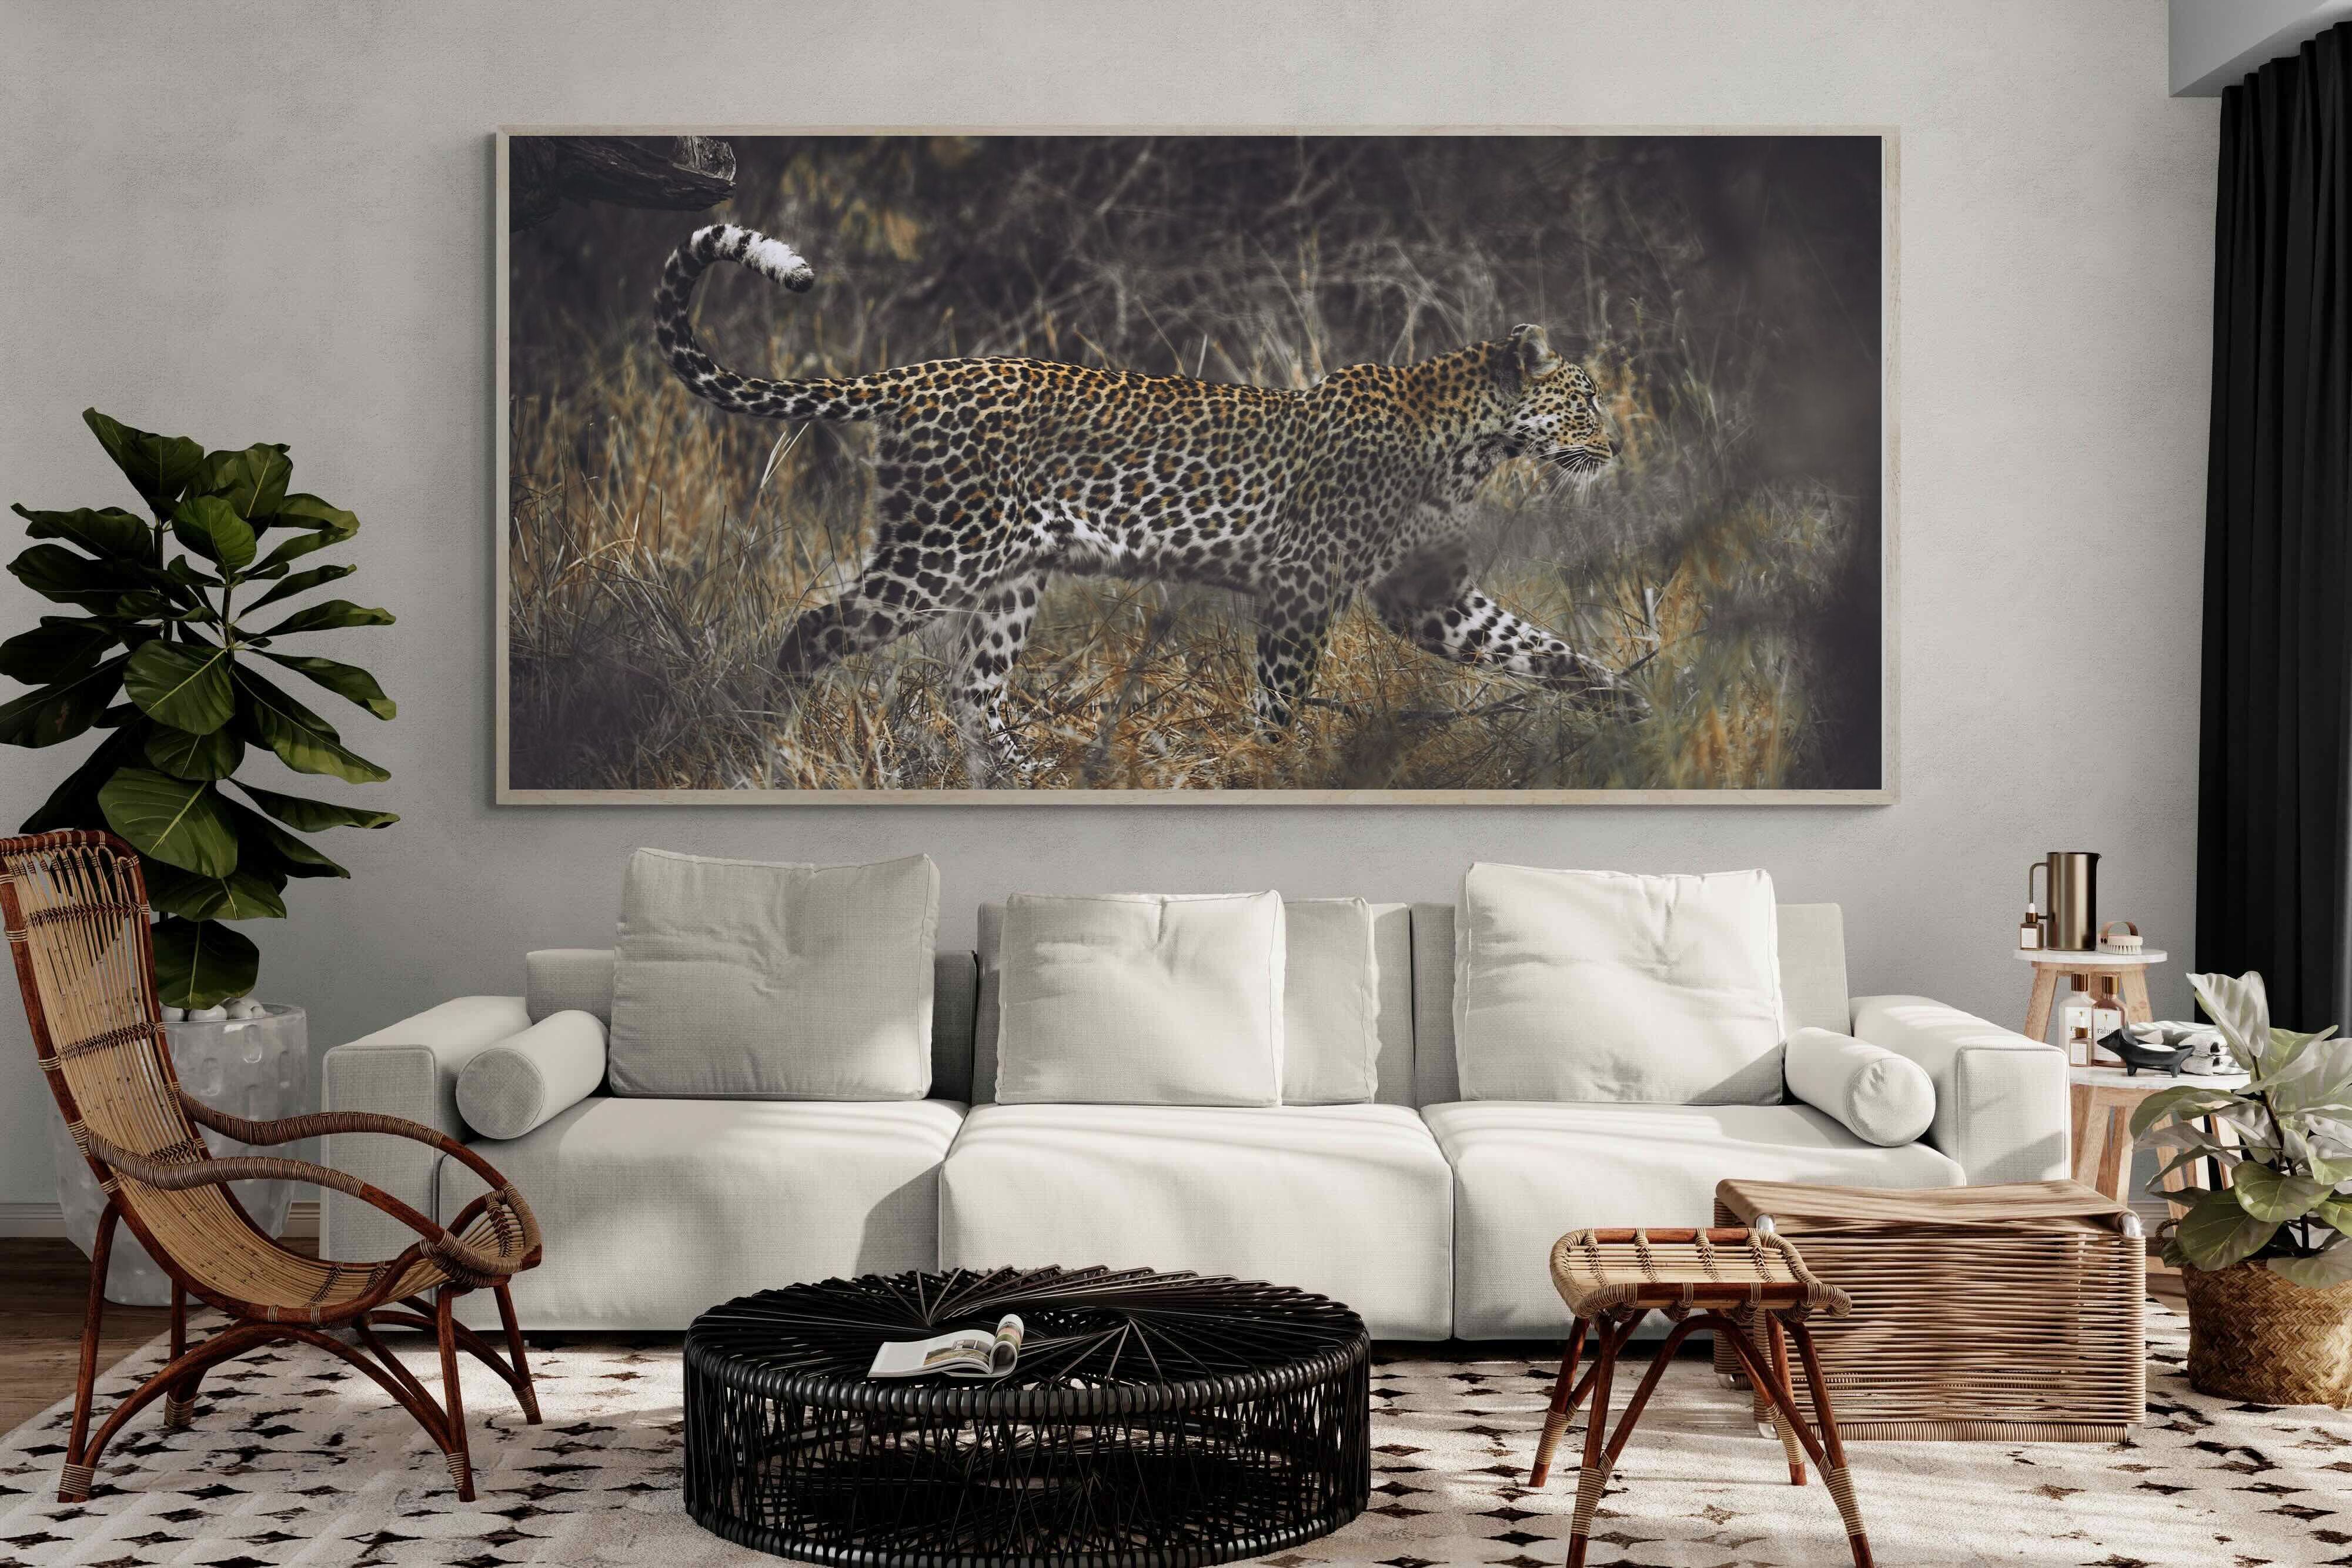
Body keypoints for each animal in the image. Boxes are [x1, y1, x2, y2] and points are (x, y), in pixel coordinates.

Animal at [653, 222, 1644, 782]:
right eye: (1586, 399)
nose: (1617, 448)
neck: (1473, 444)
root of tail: (918, 373)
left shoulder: (1425, 596)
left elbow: (1537, 647)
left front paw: (1629, 707)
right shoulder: (1304, 584)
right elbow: (1280, 695)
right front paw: (1264, 771)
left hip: (1010, 573)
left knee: (975, 686)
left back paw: (1028, 777)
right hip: (941, 553)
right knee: (813, 631)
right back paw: (770, 747)